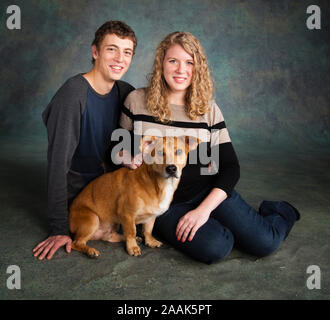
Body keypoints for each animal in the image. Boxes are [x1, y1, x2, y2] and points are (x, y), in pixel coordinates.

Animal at [68, 135, 200, 258]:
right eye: (159, 153)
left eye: (179, 151)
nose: (171, 168)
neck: (157, 184)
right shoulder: (127, 214)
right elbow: (132, 231)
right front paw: (132, 247)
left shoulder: (151, 216)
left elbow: (148, 230)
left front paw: (149, 241)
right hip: (93, 219)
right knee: (76, 243)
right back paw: (90, 251)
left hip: (112, 224)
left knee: (109, 237)